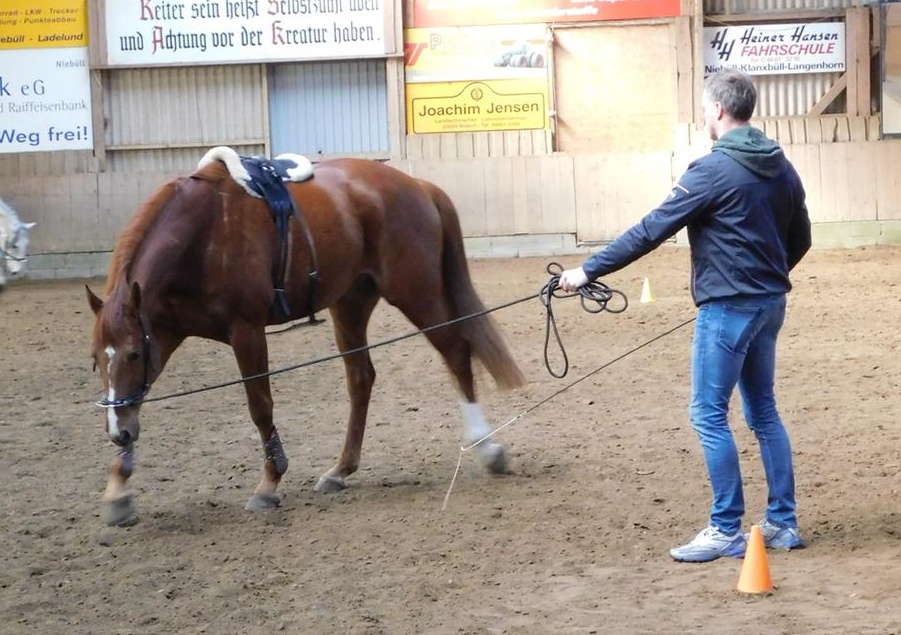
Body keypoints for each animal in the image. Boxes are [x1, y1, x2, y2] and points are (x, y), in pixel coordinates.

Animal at [87, 146, 526, 526]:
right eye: (96, 360)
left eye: (132, 354)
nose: (115, 433)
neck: (203, 233)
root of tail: (417, 185)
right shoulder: (163, 332)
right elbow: (133, 401)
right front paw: (118, 490)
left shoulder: (246, 331)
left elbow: (260, 406)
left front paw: (269, 484)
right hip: (351, 303)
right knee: (361, 378)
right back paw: (341, 469)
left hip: (416, 292)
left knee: (455, 350)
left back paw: (486, 447)